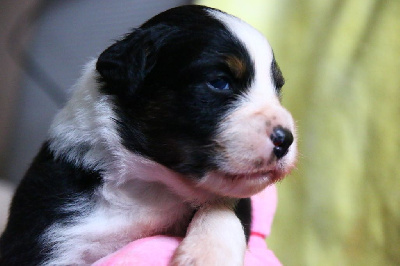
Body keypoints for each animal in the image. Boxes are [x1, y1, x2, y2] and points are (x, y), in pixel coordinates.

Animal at [0, 5, 296, 264]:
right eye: (219, 82)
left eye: (277, 89)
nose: (286, 139)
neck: (150, 186)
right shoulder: (47, 233)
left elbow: (223, 206)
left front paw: (207, 254)